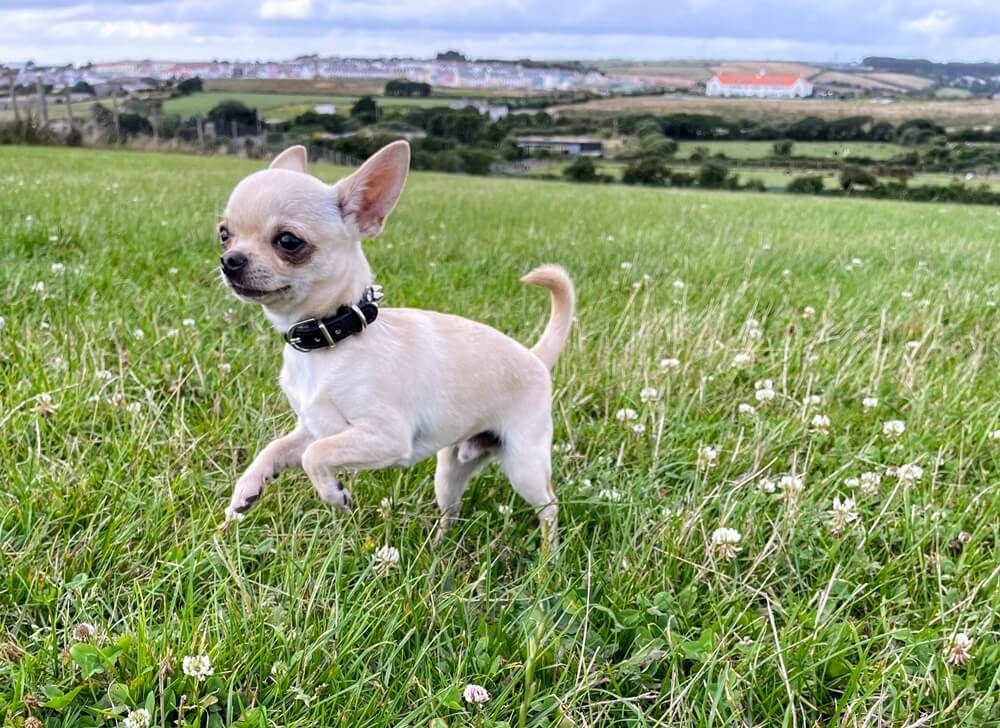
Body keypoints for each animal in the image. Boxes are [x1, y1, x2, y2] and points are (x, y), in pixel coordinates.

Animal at [219, 141, 580, 544]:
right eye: (224, 233)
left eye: (288, 241)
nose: (229, 260)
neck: (331, 340)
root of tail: (535, 357)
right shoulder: (312, 428)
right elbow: (277, 448)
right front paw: (247, 489)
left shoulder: (384, 437)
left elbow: (316, 455)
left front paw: (335, 495)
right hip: (450, 470)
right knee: (452, 509)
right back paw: (438, 545)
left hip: (524, 465)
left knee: (549, 507)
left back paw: (549, 552)